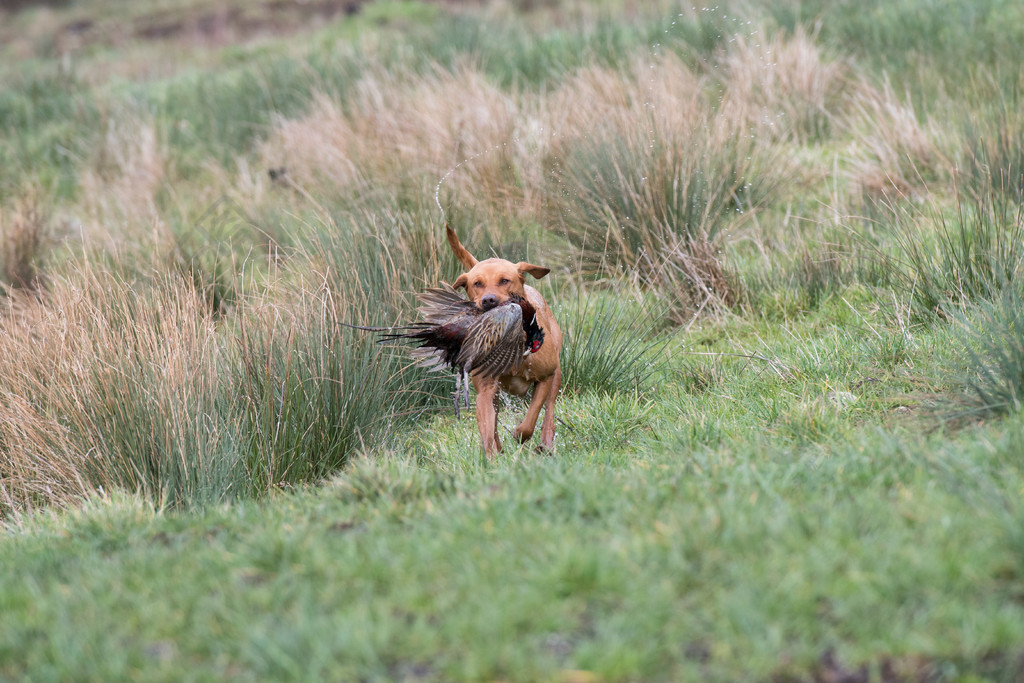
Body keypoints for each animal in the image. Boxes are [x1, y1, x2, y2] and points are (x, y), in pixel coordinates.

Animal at [446, 225, 565, 458]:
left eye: (504, 280)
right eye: (477, 283)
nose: (489, 300)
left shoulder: (544, 378)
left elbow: (532, 417)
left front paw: (520, 433)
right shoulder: (485, 391)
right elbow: (487, 428)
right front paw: (490, 457)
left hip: (556, 373)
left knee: (549, 410)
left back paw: (545, 444)